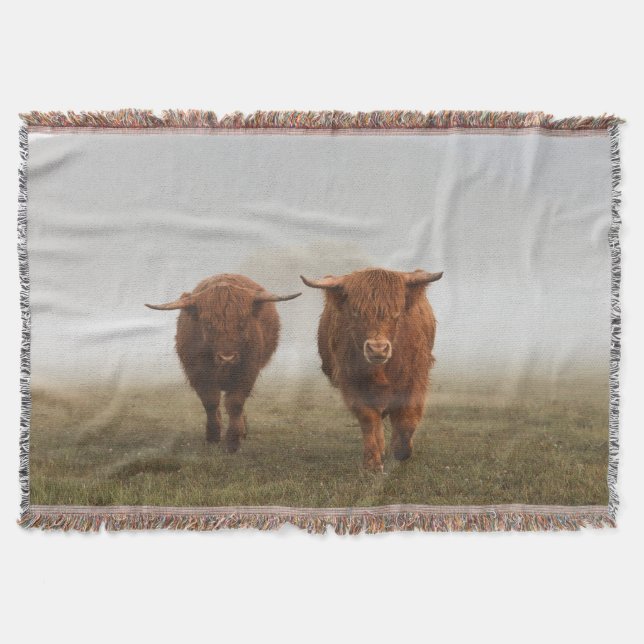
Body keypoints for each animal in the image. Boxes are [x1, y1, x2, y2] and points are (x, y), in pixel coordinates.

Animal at [146, 274, 301, 452]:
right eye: (208, 324)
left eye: (242, 323)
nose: (227, 357)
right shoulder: (198, 374)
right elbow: (211, 402)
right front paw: (213, 436)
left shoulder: (247, 372)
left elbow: (235, 403)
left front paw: (233, 440)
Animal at [301, 268, 443, 471]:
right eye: (356, 312)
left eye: (396, 313)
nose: (377, 348)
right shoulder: (352, 382)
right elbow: (369, 419)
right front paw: (372, 463)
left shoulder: (415, 378)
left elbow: (407, 419)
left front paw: (402, 451)